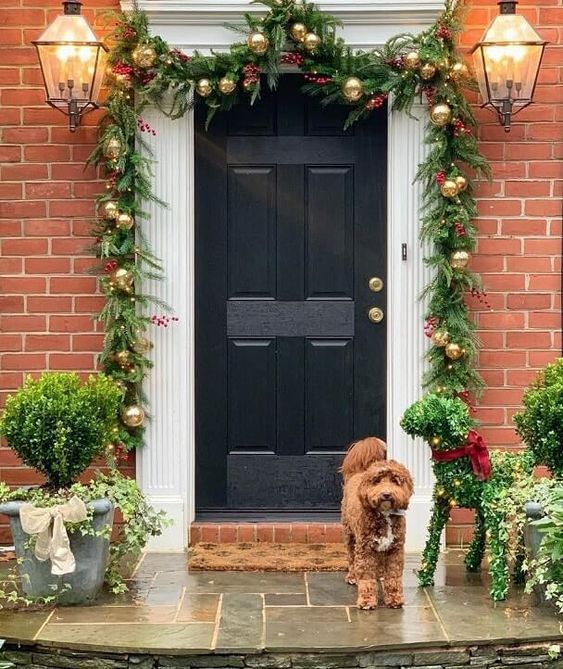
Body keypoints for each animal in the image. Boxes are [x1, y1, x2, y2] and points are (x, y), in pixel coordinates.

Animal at [340, 438, 414, 612]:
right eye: (377, 481)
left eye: (395, 481)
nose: (386, 494)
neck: (384, 514)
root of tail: (357, 474)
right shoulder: (365, 549)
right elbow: (366, 578)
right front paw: (367, 601)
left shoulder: (395, 549)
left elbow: (393, 577)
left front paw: (394, 599)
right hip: (350, 535)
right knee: (351, 558)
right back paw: (353, 576)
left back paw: (380, 574)